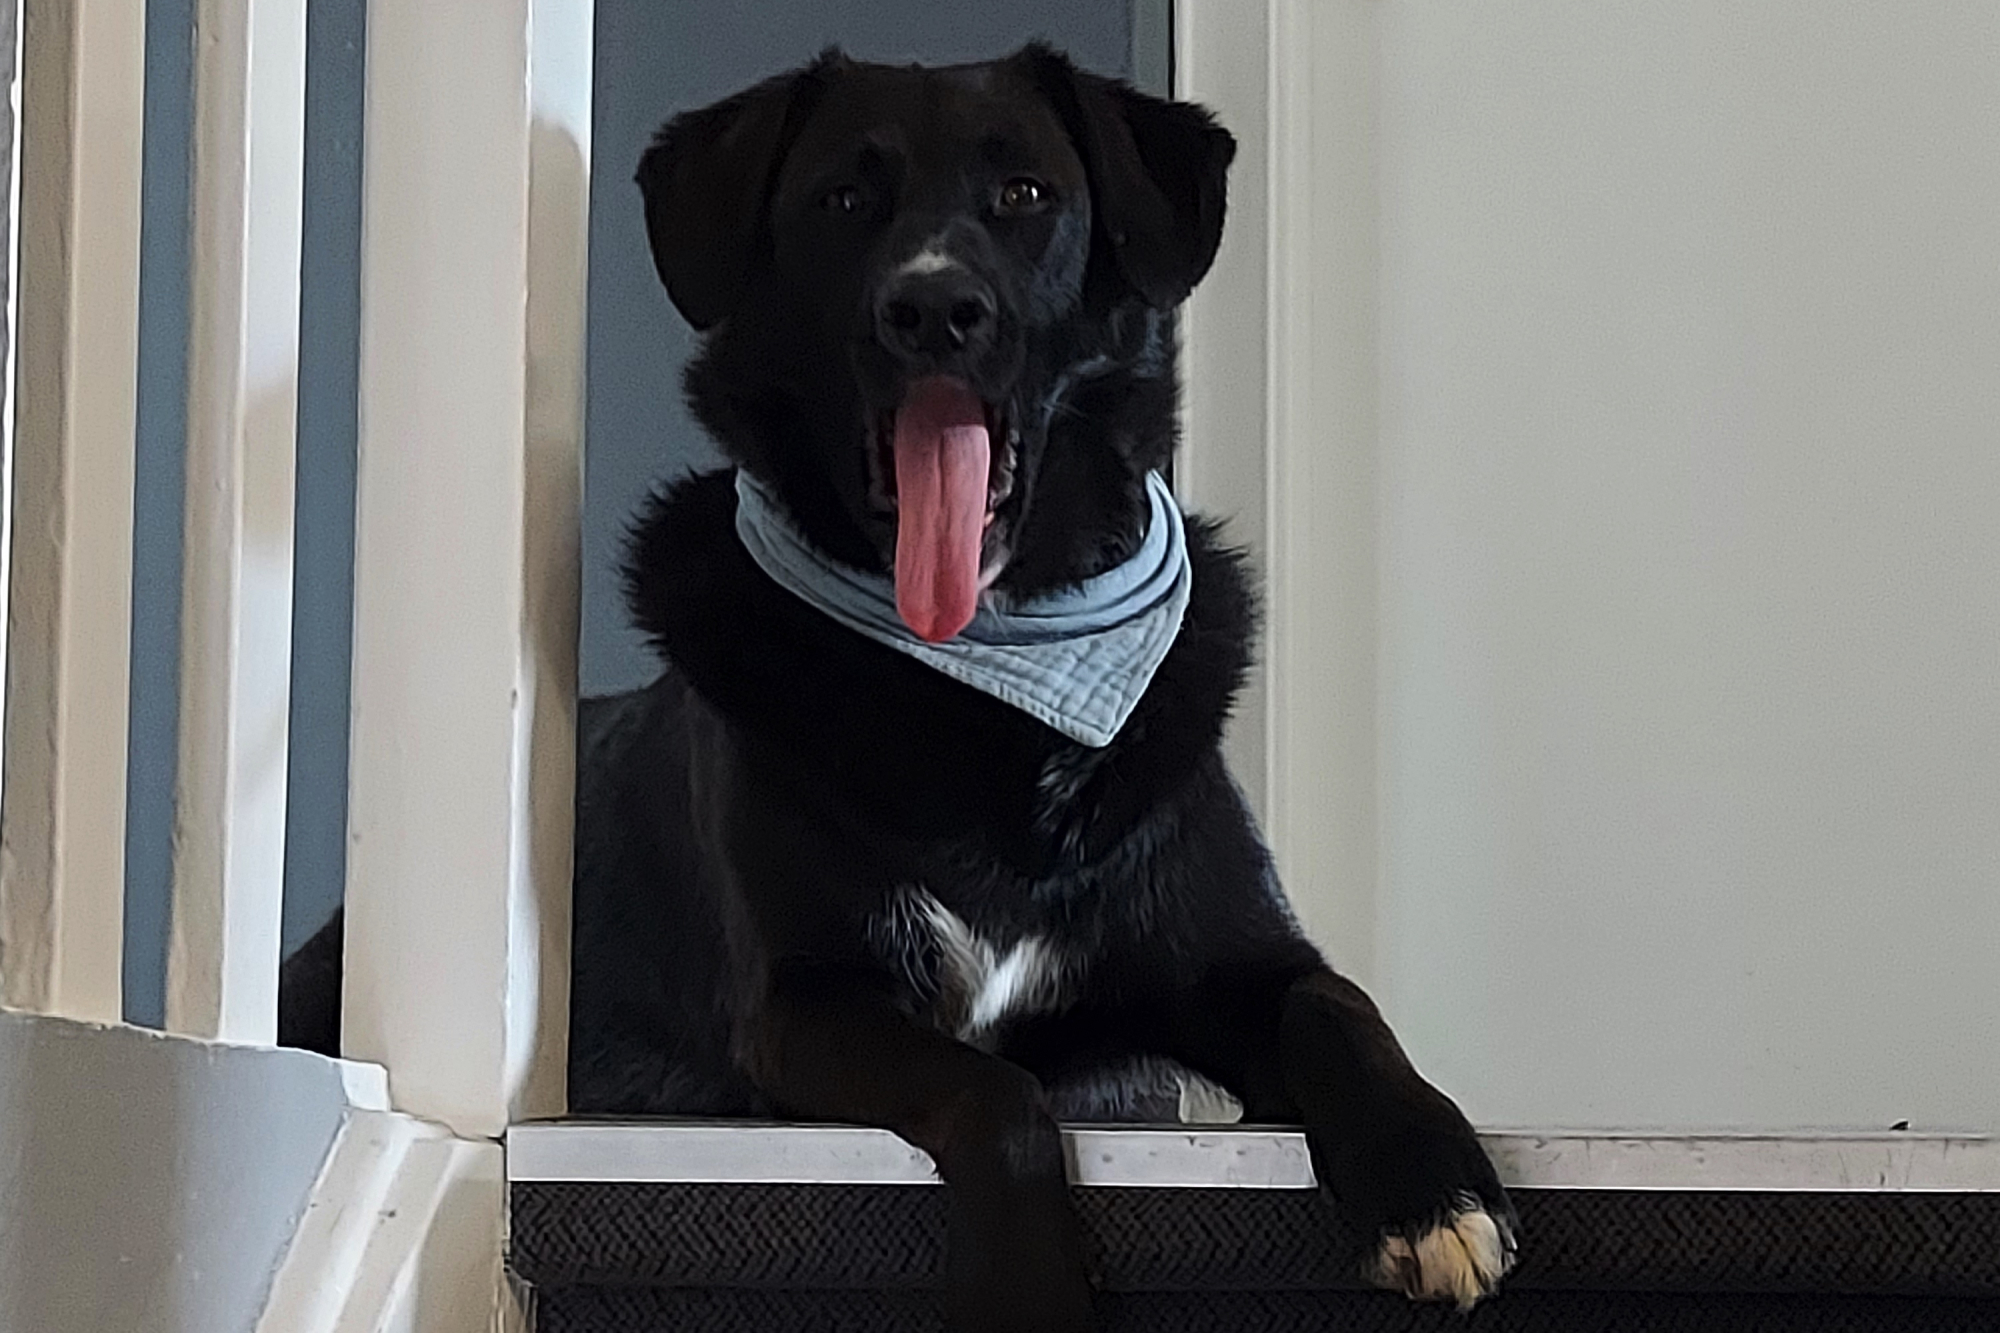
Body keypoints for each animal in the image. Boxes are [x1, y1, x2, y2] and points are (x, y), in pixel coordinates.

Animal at [282, 44, 1516, 1331]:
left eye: (1023, 194)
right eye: (841, 200)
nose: (931, 308)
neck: (989, 679)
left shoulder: (1234, 962)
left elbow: (1339, 1005)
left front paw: (1433, 1192)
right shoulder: (811, 1003)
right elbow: (995, 1093)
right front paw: (1031, 1292)